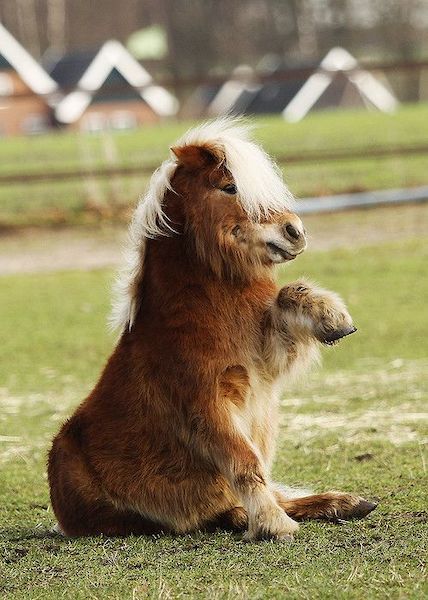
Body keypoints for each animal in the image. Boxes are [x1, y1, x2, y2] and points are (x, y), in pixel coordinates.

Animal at [47, 117, 374, 540]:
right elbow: (244, 461)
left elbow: (286, 296)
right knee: (215, 511)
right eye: (229, 187)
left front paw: (332, 318)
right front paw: (272, 525)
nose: (295, 232)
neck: (200, 309)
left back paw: (345, 502)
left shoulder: (263, 362)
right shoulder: (207, 402)